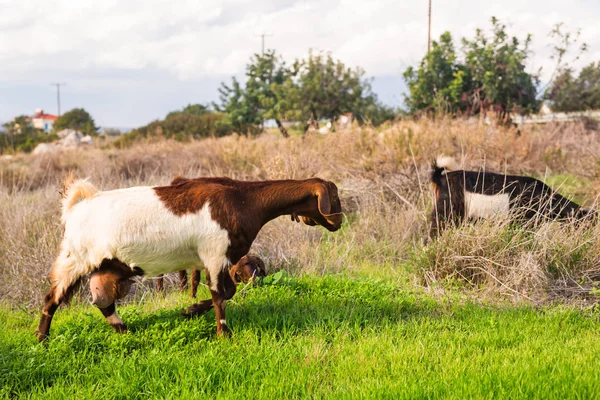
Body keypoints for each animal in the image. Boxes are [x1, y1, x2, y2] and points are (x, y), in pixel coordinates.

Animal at [35, 176, 342, 340]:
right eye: (335, 197)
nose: (339, 222)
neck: (243, 200)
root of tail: (77, 206)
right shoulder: (215, 254)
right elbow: (221, 295)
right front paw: (223, 334)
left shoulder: (215, 259)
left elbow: (225, 292)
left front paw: (191, 310)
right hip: (75, 259)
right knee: (52, 299)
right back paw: (42, 339)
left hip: (108, 267)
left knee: (102, 299)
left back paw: (123, 329)